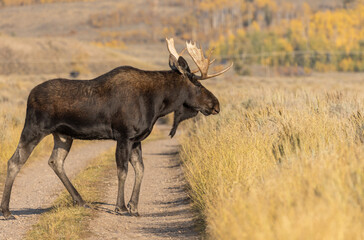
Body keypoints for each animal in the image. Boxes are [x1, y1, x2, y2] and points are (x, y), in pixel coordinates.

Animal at [0, 38, 232, 219]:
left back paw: (80, 201)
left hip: (63, 135)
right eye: (197, 84)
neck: (159, 104)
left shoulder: (137, 139)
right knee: (14, 161)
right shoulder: (124, 136)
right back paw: (7, 210)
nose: (216, 105)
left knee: (55, 161)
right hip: (34, 128)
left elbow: (140, 169)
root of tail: (29, 96)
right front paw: (121, 206)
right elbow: (123, 171)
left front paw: (134, 206)